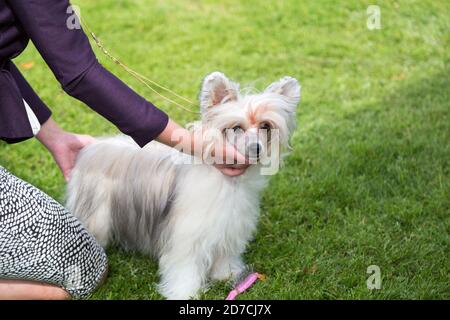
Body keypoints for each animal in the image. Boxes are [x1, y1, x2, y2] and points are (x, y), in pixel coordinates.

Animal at [66, 71, 298, 298]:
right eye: (236, 128)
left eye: (266, 126)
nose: (256, 148)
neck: (229, 182)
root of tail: (91, 148)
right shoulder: (187, 237)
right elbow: (185, 268)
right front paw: (185, 292)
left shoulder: (229, 228)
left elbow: (224, 256)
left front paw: (227, 275)